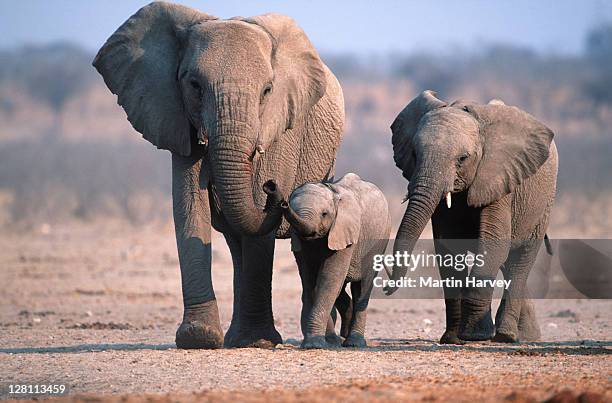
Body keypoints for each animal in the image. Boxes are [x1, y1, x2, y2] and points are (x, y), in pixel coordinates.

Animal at [94, 2, 344, 350]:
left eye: (267, 90)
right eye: (194, 86)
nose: (274, 190)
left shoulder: (282, 125)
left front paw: (258, 343)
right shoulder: (176, 115)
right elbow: (188, 204)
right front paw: (198, 338)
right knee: (235, 243)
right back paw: (235, 338)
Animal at [264, 173, 390, 348]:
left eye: (324, 214)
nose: (271, 186)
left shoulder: (345, 233)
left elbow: (328, 281)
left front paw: (315, 345)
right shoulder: (299, 241)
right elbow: (310, 282)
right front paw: (325, 342)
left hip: (379, 242)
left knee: (362, 287)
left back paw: (354, 343)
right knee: (340, 289)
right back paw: (343, 335)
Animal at [390, 90, 556, 344]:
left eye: (462, 159)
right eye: (415, 154)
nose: (388, 287)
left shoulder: (498, 177)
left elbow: (494, 244)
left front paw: (474, 335)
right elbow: (448, 249)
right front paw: (452, 339)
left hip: (543, 204)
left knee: (521, 260)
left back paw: (507, 336)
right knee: (508, 262)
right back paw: (525, 335)